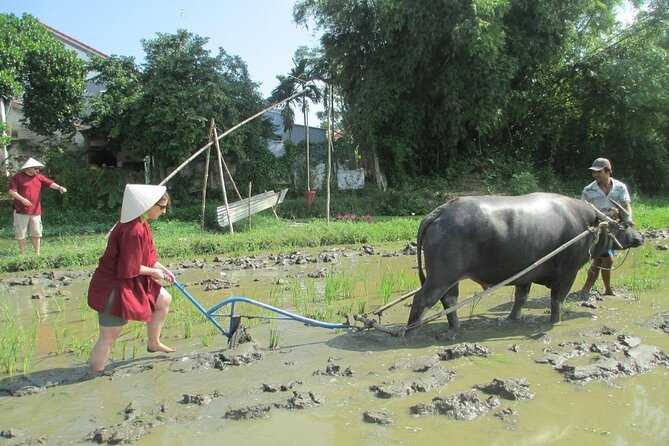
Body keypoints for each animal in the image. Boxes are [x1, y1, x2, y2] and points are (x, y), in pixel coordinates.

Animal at [408, 192, 640, 328]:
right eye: (622, 224)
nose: (640, 237)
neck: (587, 225)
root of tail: (439, 212)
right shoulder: (568, 273)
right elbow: (557, 300)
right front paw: (555, 322)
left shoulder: (526, 273)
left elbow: (521, 297)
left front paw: (513, 318)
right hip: (441, 276)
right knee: (422, 300)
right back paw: (410, 331)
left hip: (451, 278)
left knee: (450, 300)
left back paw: (455, 326)